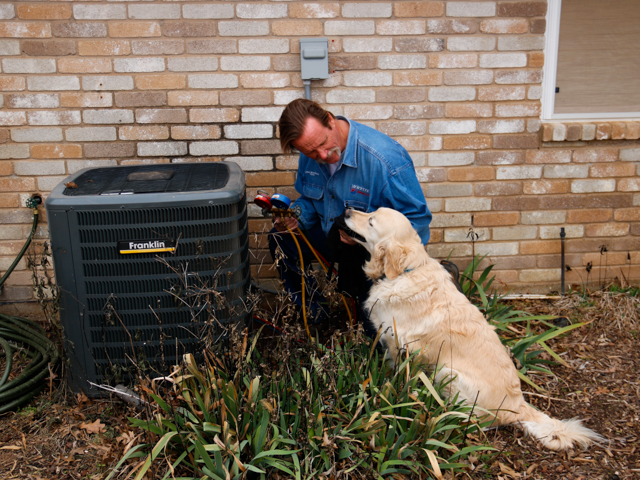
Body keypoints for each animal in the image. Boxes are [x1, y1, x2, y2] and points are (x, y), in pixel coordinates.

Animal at [344, 206, 600, 450]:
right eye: (371, 211)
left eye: (371, 221)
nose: (346, 210)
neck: (406, 271)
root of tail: (518, 404)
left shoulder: (406, 347)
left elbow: (400, 377)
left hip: (448, 372)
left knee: (477, 420)